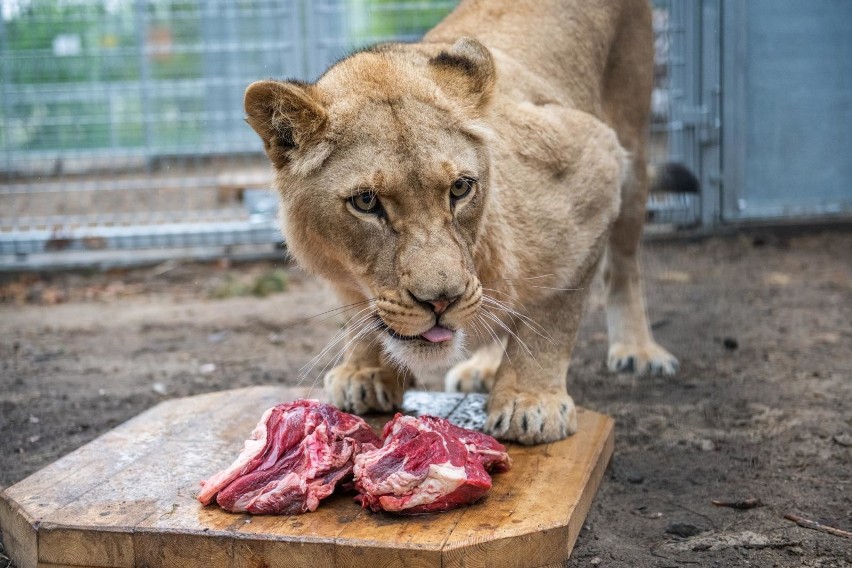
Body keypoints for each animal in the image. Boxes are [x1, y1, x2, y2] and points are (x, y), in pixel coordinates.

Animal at [243, 0, 676, 444]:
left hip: (632, 146)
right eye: (366, 201)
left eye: (460, 188)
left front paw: (530, 400)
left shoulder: (594, 161)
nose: (441, 301)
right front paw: (365, 371)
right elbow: (358, 316)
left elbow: (557, 310)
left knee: (623, 264)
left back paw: (637, 351)